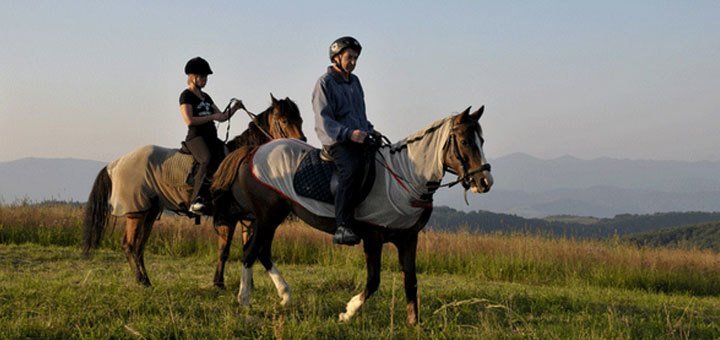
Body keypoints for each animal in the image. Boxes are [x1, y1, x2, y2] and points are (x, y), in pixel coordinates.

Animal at [83, 93, 306, 286]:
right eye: (284, 120)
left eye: (300, 119)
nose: (301, 143)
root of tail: (115, 163)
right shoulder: (228, 217)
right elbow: (224, 250)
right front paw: (219, 283)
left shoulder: (249, 218)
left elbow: (247, 252)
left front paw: (248, 285)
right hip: (136, 211)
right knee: (129, 245)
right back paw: (141, 281)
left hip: (149, 211)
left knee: (139, 246)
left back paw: (146, 280)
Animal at [210, 105, 496, 324]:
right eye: (465, 141)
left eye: (482, 141)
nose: (484, 182)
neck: (406, 175)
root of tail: (252, 151)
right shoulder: (373, 237)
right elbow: (374, 281)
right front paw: (348, 312)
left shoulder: (408, 238)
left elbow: (411, 280)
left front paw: (414, 323)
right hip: (267, 215)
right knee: (251, 252)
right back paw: (245, 299)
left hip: (272, 217)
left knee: (262, 251)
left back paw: (285, 295)